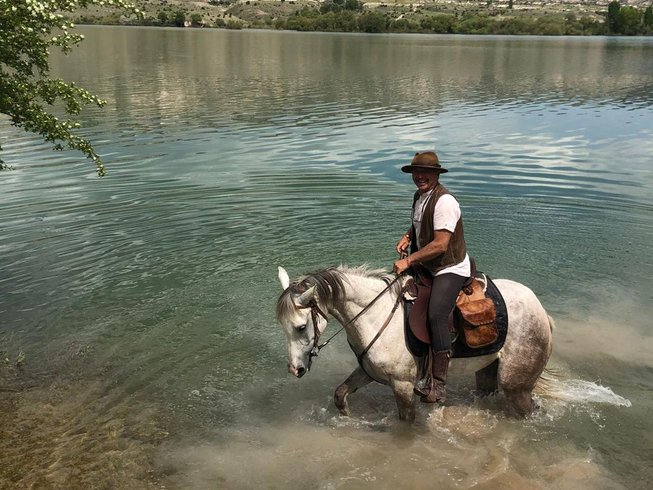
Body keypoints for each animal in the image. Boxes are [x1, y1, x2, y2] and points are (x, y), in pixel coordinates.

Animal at [272, 264, 552, 422]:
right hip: (487, 372)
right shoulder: (368, 371)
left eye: (300, 327)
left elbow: (406, 422)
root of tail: (541, 311)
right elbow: (340, 394)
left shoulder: (403, 385)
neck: (377, 315)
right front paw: (347, 419)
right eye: (282, 327)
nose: (295, 369)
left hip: (516, 385)